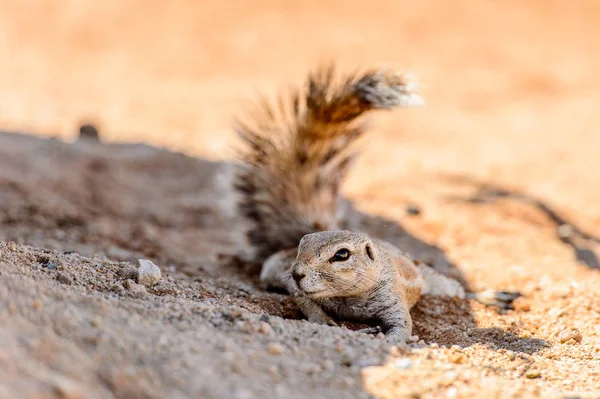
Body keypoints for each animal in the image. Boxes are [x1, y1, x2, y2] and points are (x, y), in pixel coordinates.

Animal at [232, 65, 516, 344]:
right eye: (302, 245)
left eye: (342, 255)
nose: (297, 273)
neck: (348, 297)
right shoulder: (302, 292)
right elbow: (308, 305)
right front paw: (328, 321)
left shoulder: (394, 300)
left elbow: (402, 328)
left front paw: (386, 339)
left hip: (434, 281)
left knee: (456, 290)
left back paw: (490, 296)